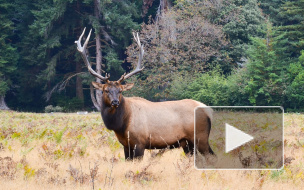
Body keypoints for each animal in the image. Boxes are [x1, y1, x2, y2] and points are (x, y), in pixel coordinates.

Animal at [75, 27, 214, 159]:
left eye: (120, 91)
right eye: (106, 90)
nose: (115, 102)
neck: (122, 125)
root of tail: (208, 110)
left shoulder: (139, 143)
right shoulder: (126, 145)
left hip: (200, 137)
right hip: (187, 143)